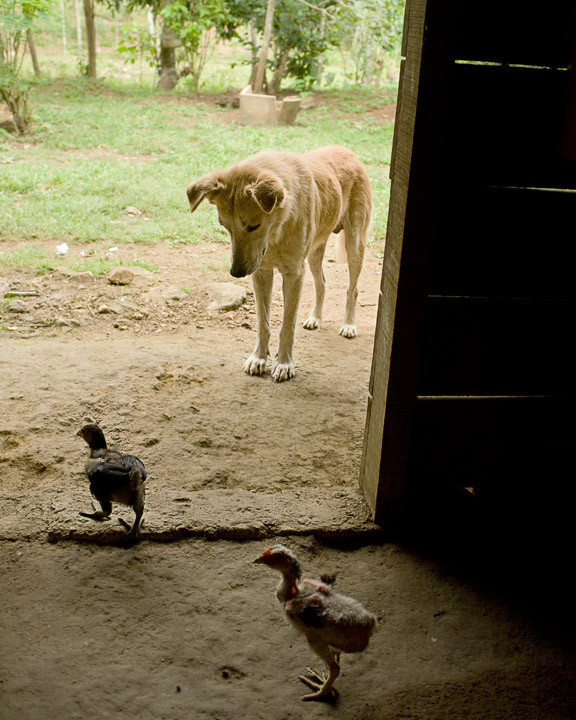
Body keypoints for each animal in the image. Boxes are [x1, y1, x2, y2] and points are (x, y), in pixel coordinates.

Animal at [187, 145, 372, 382]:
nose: (236, 272)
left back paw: (349, 325)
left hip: (354, 245)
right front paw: (258, 358)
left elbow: (287, 326)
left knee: (352, 289)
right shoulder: (262, 272)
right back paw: (315, 318)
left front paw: (284, 364)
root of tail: (346, 150)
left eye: (253, 226)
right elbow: (263, 323)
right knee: (321, 283)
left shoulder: (294, 274)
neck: (276, 232)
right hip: (314, 253)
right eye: (224, 226)